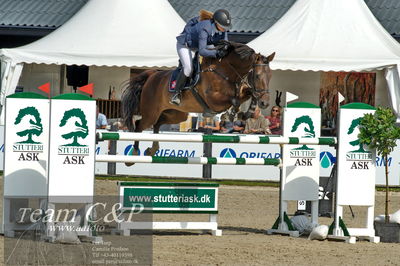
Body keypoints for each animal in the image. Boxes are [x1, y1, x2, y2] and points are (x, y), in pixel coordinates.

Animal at [121, 39, 276, 160]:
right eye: (257, 76)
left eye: (270, 76)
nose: (265, 103)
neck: (226, 71)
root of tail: (152, 75)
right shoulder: (214, 100)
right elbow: (234, 100)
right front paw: (233, 114)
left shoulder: (241, 90)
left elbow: (249, 93)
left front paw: (248, 112)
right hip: (151, 112)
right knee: (140, 125)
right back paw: (133, 155)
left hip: (176, 114)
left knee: (157, 124)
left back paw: (151, 150)